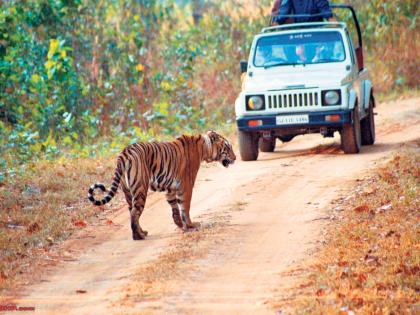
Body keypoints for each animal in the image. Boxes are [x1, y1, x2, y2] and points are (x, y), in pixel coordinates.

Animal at [87, 130, 236, 241]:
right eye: (228, 147)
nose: (235, 158)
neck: (204, 148)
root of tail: (124, 153)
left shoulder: (171, 188)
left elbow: (175, 208)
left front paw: (180, 225)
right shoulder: (186, 186)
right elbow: (185, 207)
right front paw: (190, 225)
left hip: (128, 191)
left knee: (132, 211)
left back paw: (142, 232)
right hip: (140, 188)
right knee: (135, 212)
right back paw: (138, 236)